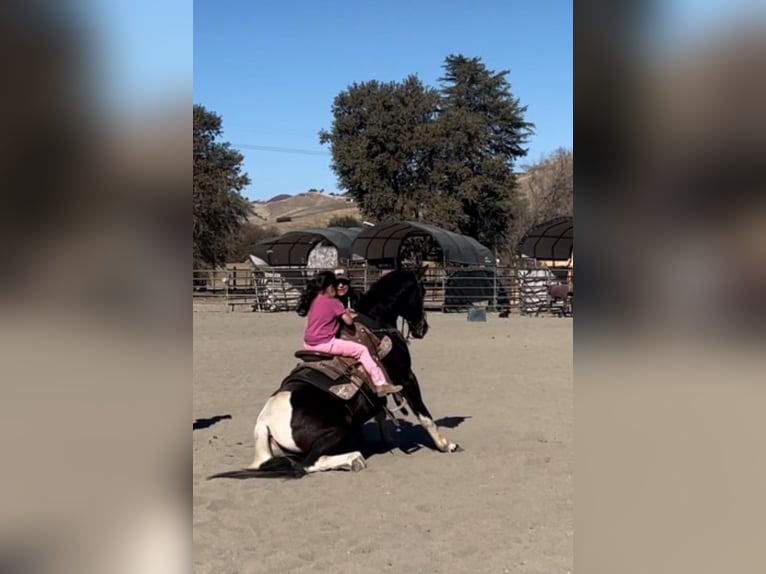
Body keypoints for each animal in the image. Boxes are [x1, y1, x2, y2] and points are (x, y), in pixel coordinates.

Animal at [208, 270, 462, 482]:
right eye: (422, 291)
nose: (422, 328)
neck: (377, 320)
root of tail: (266, 424)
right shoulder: (406, 377)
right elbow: (424, 415)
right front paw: (446, 445)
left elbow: (380, 410)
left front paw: (387, 438)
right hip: (339, 428)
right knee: (308, 464)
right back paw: (353, 459)